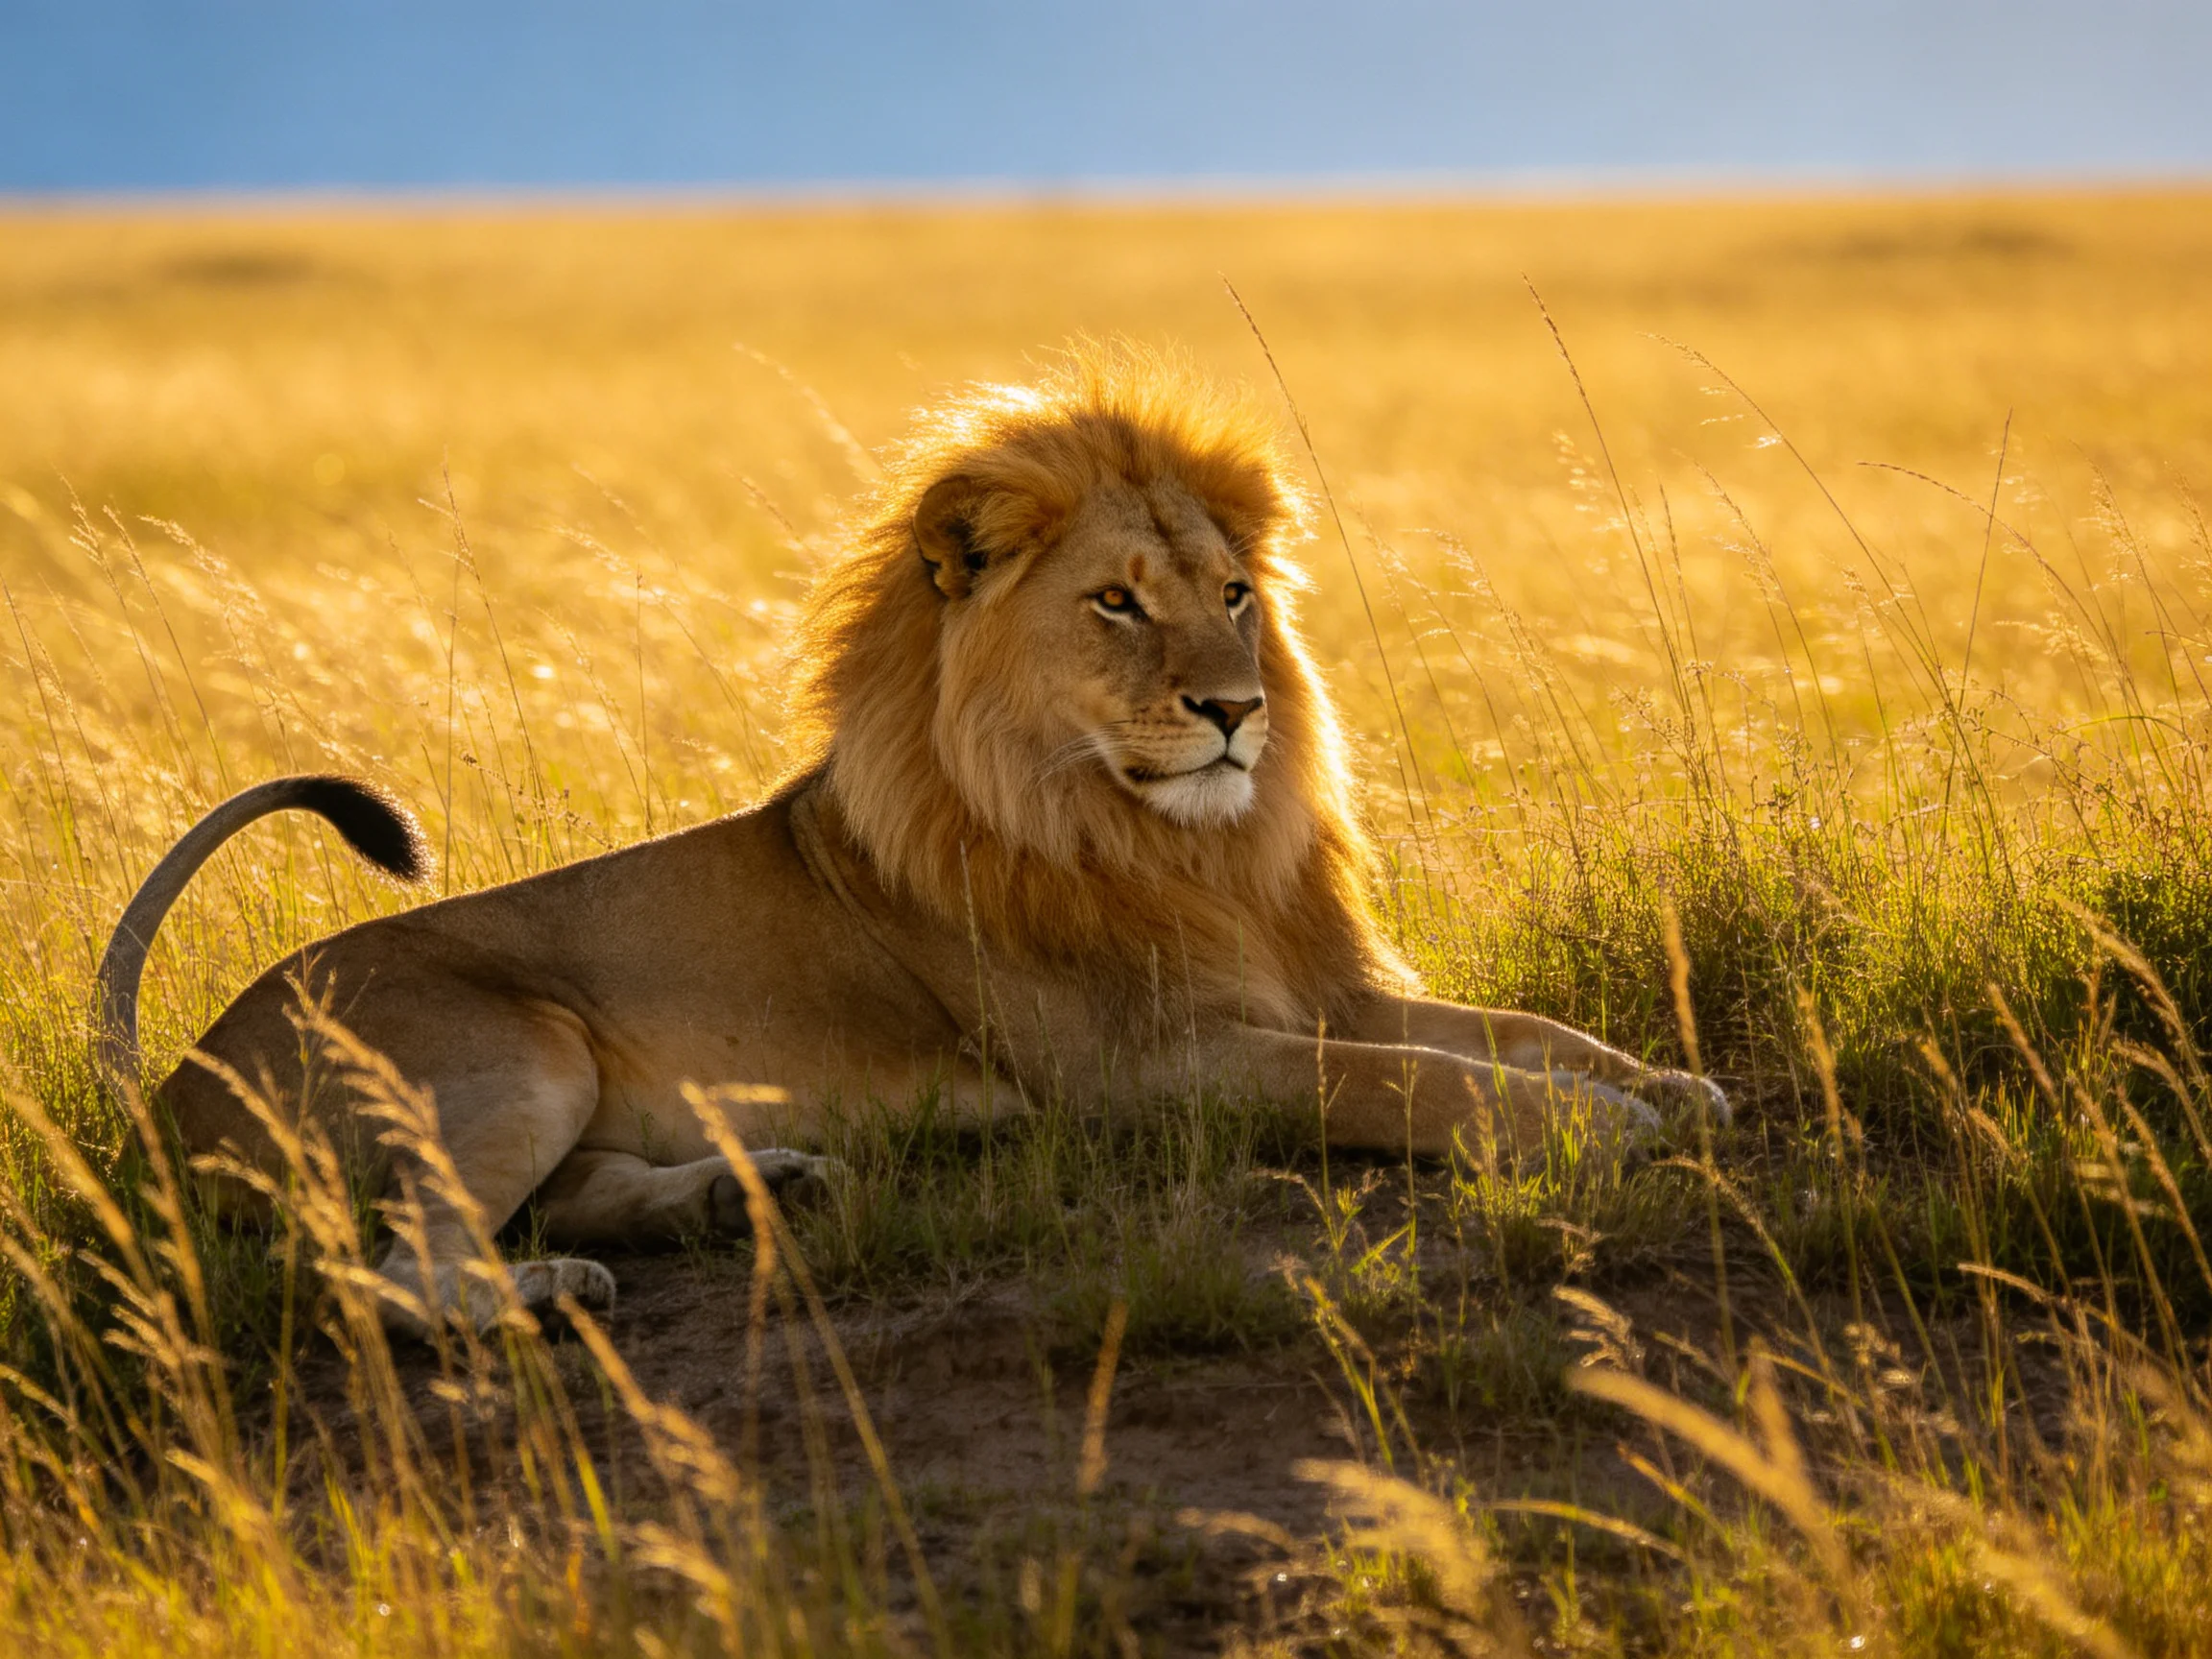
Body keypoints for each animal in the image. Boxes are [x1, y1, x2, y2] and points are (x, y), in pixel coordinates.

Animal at [94, 345, 1723, 1336]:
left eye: (1236, 593)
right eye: (1115, 603)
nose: (1236, 710)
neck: (1176, 844)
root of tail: (170, 1088)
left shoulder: (1317, 983)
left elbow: (1507, 1030)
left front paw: (1662, 1083)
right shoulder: (1143, 1072)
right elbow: (1400, 1082)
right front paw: (1591, 1129)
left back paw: (750, 1191)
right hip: (512, 1048)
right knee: (376, 1278)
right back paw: (551, 1289)